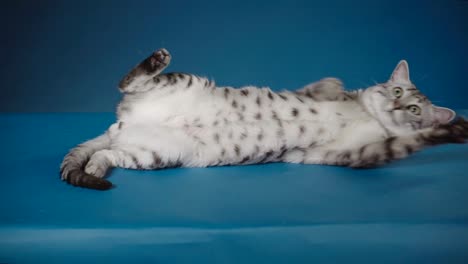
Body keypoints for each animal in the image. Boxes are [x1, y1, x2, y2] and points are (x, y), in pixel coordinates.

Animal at [60, 48, 468, 190]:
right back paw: (156, 60)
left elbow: (407, 142)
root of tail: (123, 123)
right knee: (128, 81)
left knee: (108, 152)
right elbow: (328, 85)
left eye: (415, 110)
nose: (399, 107)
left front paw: (452, 129)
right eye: (397, 92)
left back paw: (95, 166)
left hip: (155, 155)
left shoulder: (354, 155)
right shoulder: (320, 89)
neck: (368, 115)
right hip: (179, 82)